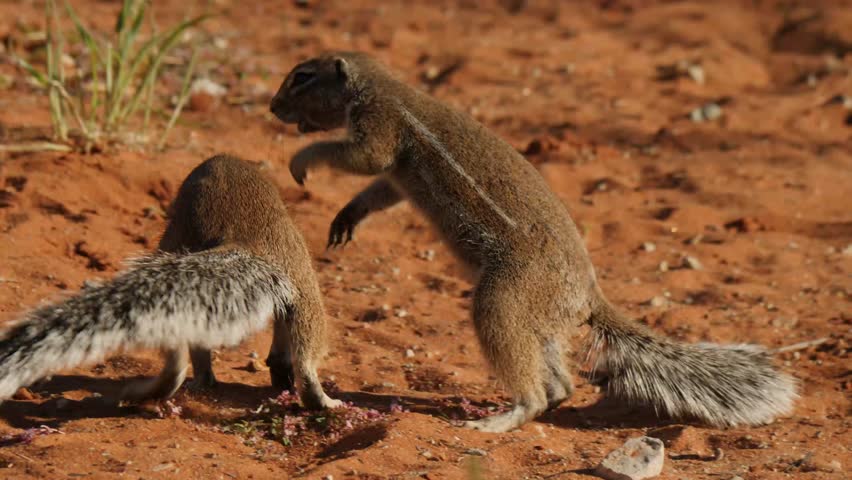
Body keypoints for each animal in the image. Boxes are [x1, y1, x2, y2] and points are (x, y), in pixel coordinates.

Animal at [269, 52, 797, 432]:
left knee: (536, 391)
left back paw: (498, 421)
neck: (380, 85)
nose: (272, 108)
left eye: (302, 77)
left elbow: (360, 158)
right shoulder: (395, 174)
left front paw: (300, 160)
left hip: (502, 300)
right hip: (537, 322)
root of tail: (589, 297)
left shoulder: (379, 130)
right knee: (561, 384)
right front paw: (346, 217)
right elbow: (377, 192)